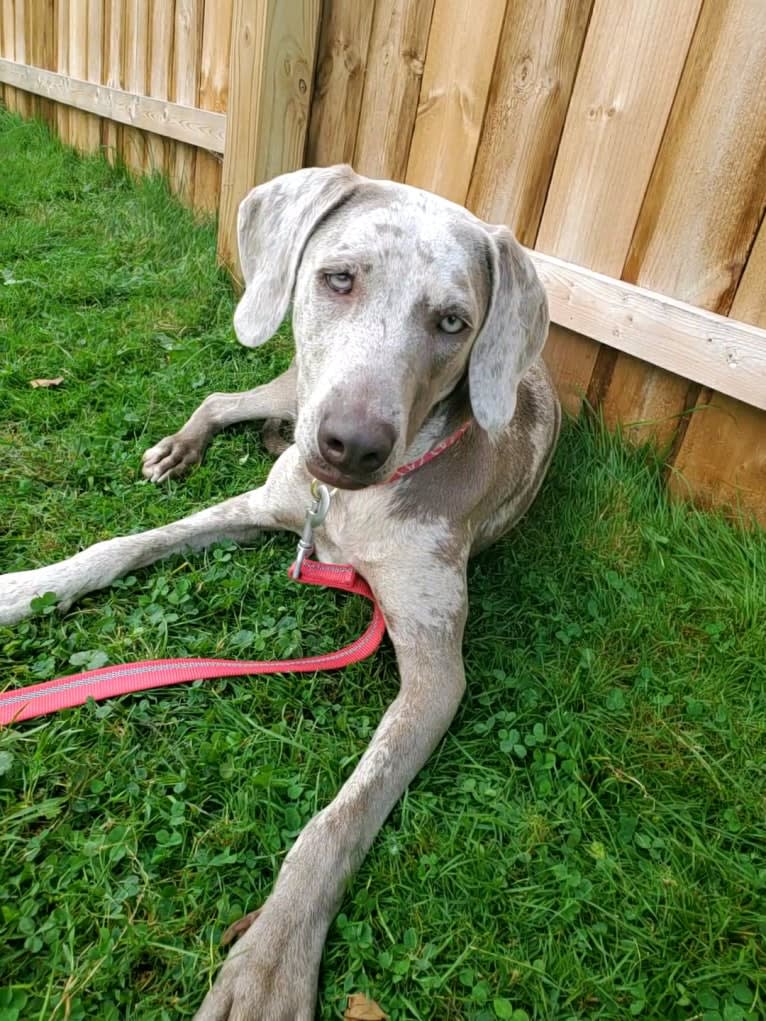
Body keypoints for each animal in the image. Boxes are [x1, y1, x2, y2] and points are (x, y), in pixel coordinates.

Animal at [0, 163, 563, 1016]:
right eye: (339, 278)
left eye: (452, 322)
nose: (352, 446)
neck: (347, 512)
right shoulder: (261, 505)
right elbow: (121, 545)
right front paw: (29, 585)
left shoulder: (437, 672)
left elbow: (338, 820)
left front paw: (269, 962)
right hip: (292, 383)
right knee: (228, 399)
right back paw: (182, 445)